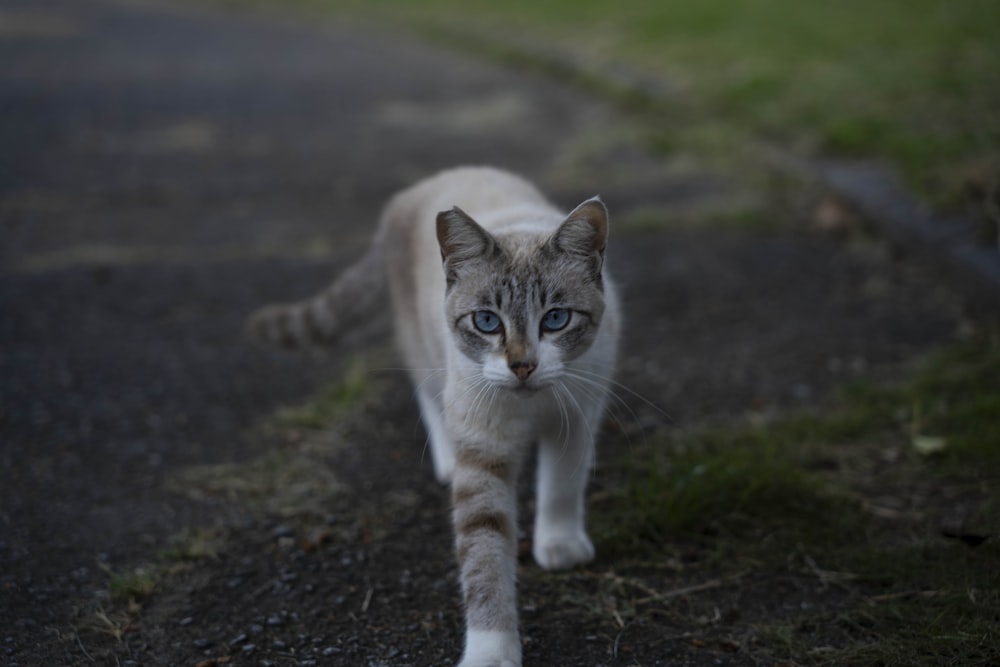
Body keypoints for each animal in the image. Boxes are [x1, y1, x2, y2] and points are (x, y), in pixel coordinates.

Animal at [248, 167, 616, 667]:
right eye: (486, 322)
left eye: (556, 319)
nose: (522, 366)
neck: (528, 406)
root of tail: (415, 189)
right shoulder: (481, 448)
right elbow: (483, 555)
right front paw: (491, 653)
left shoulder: (576, 416)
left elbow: (561, 488)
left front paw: (559, 547)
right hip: (423, 350)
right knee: (428, 394)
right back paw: (445, 460)